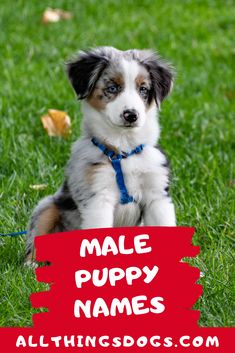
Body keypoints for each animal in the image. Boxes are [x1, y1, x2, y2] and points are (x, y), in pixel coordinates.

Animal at [25, 46, 176, 262]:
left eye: (143, 89)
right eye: (112, 88)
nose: (131, 115)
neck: (123, 150)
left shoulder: (157, 196)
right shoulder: (97, 197)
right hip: (47, 206)